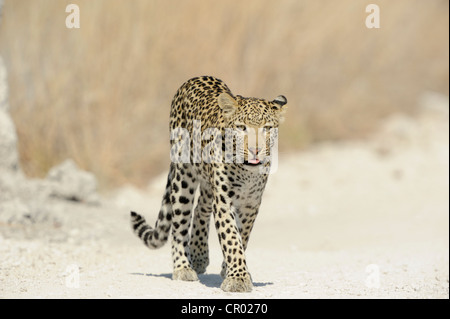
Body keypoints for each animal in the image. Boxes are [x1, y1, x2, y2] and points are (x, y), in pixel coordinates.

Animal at [129, 75, 288, 292]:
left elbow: (242, 236)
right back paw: (183, 267)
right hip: (183, 177)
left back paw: (198, 255)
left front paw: (230, 270)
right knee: (179, 224)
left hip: (207, 184)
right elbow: (231, 238)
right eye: (241, 127)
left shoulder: (251, 203)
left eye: (267, 128)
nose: (255, 150)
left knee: (200, 209)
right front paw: (238, 279)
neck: (246, 171)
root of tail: (193, 79)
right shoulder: (223, 201)